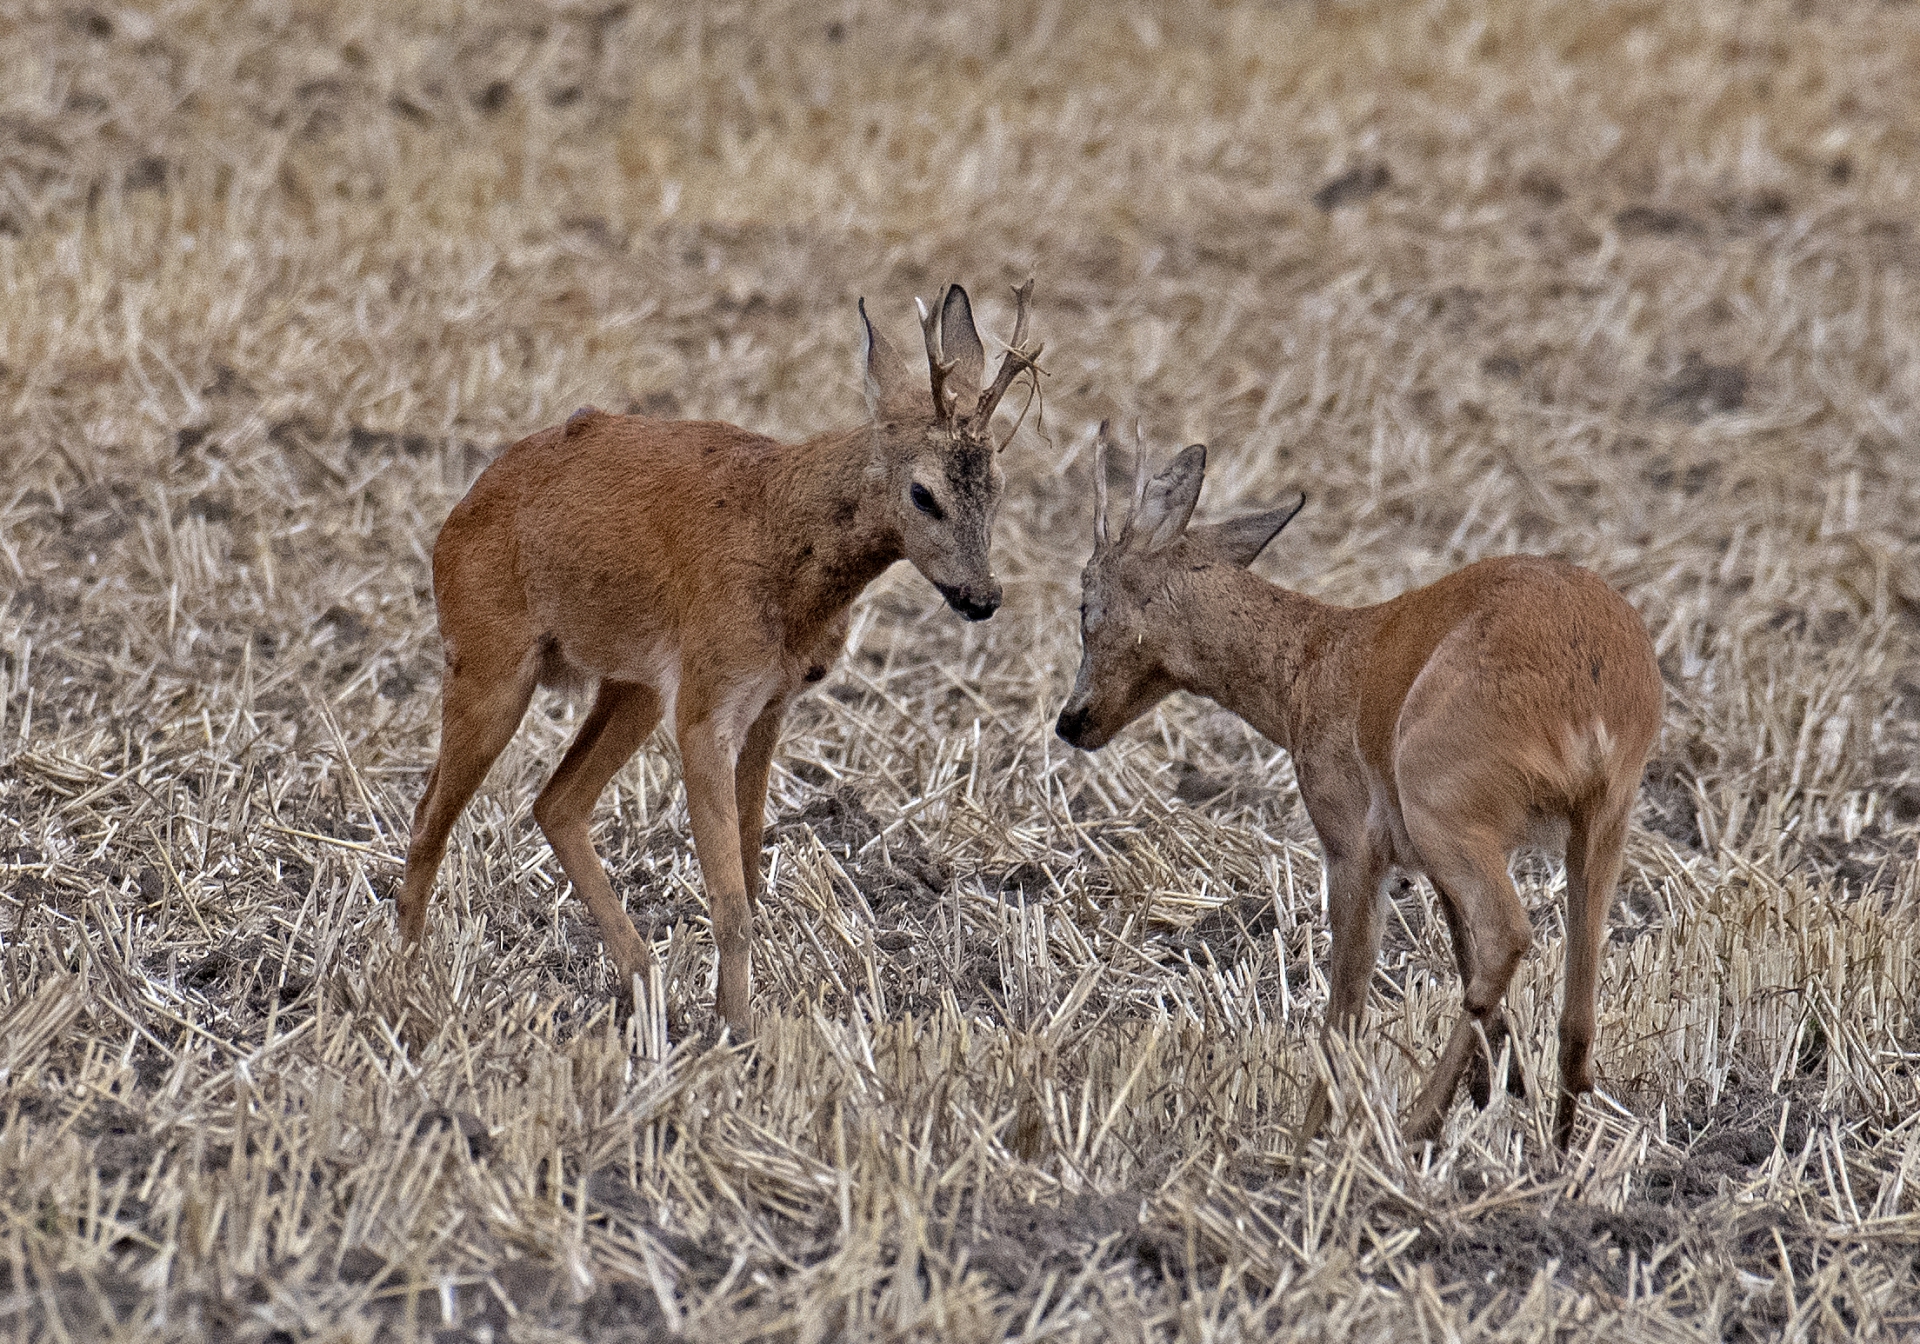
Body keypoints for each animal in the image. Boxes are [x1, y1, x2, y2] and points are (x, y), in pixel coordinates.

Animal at [395, 278, 1044, 1036]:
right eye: (923, 493)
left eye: (998, 483)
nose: (982, 596)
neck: (784, 541)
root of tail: (455, 521)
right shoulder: (708, 704)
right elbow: (729, 899)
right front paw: (739, 1032)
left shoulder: (771, 703)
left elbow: (752, 874)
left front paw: (733, 1016)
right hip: (489, 657)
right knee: (430, 816)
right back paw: (407, 986)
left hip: (634, 685)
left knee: (555, 802)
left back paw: (645, 990)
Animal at [1052, 428, 1666, 1144]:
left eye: (1085, 605)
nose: (1072, 721)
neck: (1309, 667)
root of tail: (1591, 697)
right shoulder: (1426, 858)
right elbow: (1457, 957)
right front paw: (1497, 1084)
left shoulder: (1353, 840)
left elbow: (1346, 1001)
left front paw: (1306, 1139)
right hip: (1599, 820)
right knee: (1574, 1007)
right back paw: (1553, 1144)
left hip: (1440, 796)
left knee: (1508, 933)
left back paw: (1418, 1121)